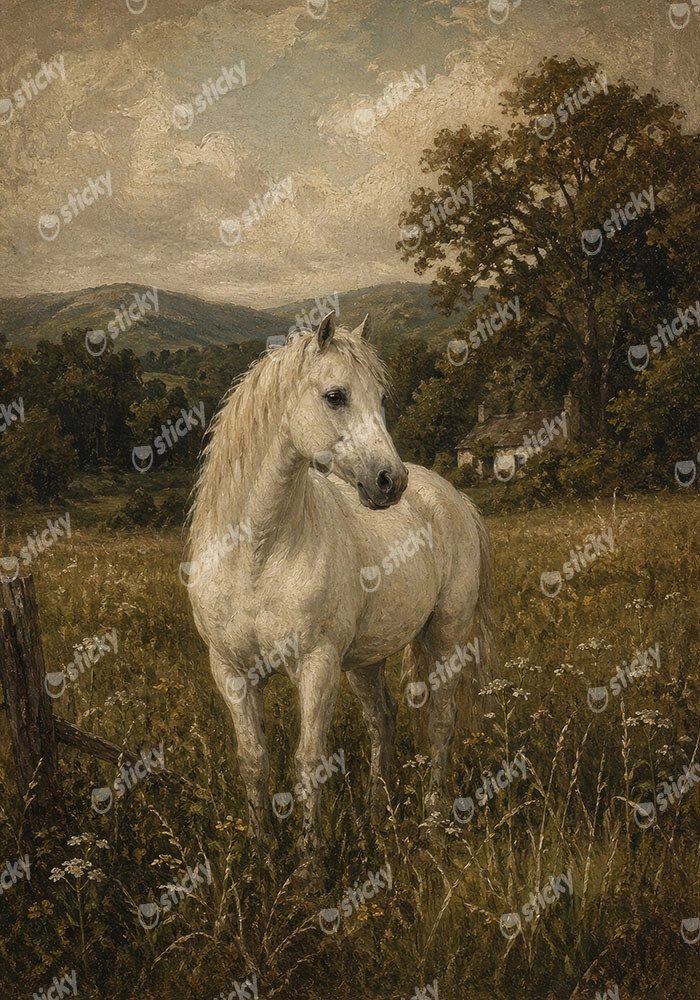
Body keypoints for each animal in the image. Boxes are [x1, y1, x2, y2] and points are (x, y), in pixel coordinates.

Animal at [185, 311, 492, 857]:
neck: (256, 554)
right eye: (335, 395)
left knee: (440, 721)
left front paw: (309, 865)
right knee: (383, 718)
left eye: (382, 397)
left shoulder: (317, 664)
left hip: (445, 634)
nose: (390, 481)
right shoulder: (231, 671)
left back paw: (435, 824)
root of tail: (453, 498)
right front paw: (262, 854)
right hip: (366, 659)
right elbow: (253, 759)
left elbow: (309, 762)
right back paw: (375, 815)